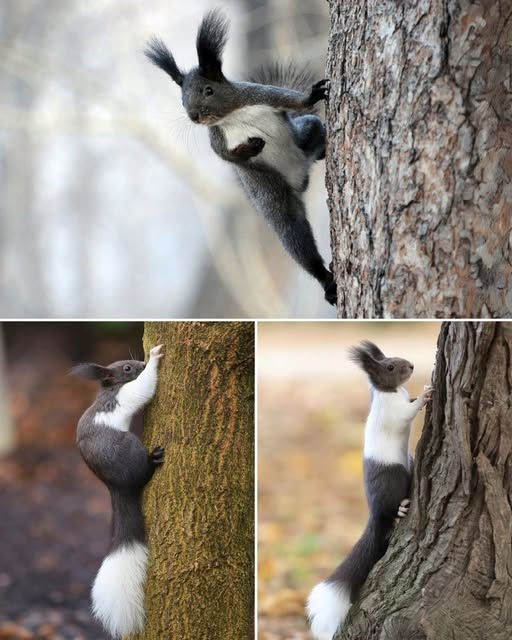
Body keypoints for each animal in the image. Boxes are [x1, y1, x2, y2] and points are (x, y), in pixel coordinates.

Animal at [72, 345, 165, 639]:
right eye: (126, 368)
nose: (141, 362)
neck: (109, 389)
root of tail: (117, 487)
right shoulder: (124, 396)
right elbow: (143, 389)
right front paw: (155, 359)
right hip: (129, 447)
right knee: (142, 473)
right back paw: (153, 460)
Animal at [145, 9, 337, 306]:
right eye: (182, 98)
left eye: (208, 90)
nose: (194, 116)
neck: (232, 115)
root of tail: (301, 178)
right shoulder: (216, 138)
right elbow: (227, 156)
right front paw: (250, 148)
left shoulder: (260, 94)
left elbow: (291, 100)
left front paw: (311, 95)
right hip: (268, 188)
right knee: (292, 231)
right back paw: (325, 280)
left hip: (306, 131)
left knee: (313, 134)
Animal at [307, 341, 434, 640]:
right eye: (390, 366)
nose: (412, 366)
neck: (391, 392)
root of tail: (375, 514)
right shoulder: (392, 411)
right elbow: (408, 412)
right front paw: (425, 394)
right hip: (393, 480)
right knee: (391, 510)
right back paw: (400, 509)